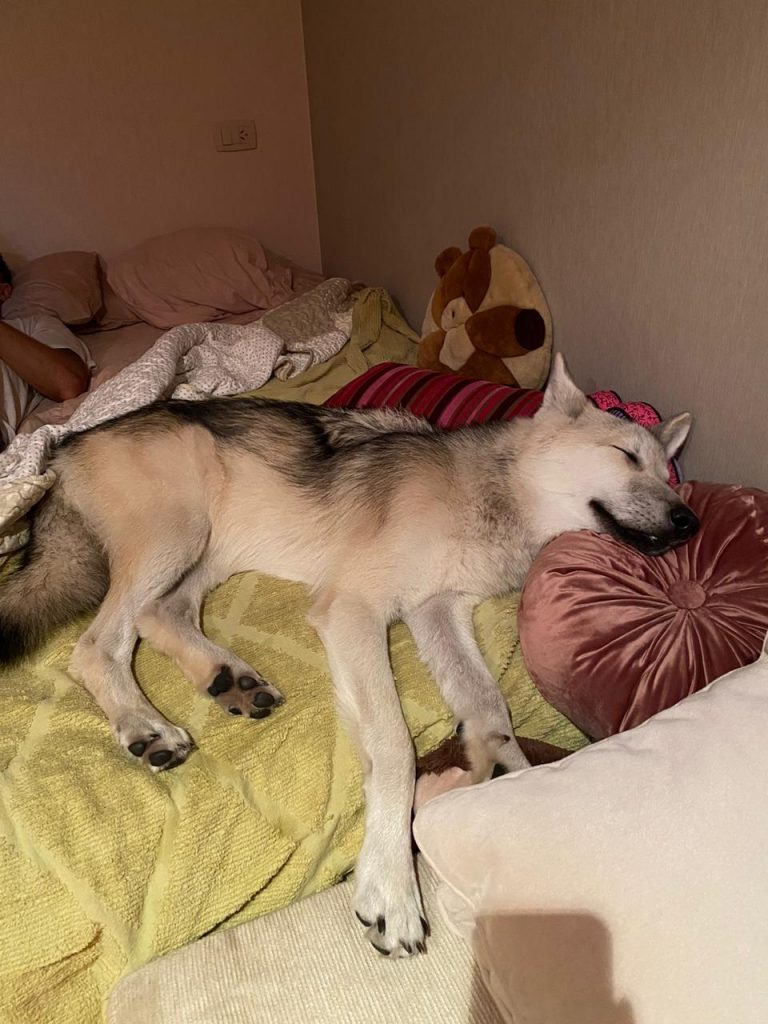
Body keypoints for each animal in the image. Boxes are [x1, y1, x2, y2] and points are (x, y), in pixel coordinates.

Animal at [0, 354, 698, 956]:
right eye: (626, 455)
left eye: (669, 474)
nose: (689, 521)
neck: (493, 491)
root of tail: (66, 443)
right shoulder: (355, 613)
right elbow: (394, 746)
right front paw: (392, 885)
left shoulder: (435, 611)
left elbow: (489, 707)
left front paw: (505, 774)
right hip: (179, 534)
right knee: (98, 645)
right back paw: (145, 726)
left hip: (210, 553)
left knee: (158, 615)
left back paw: (230, 678)